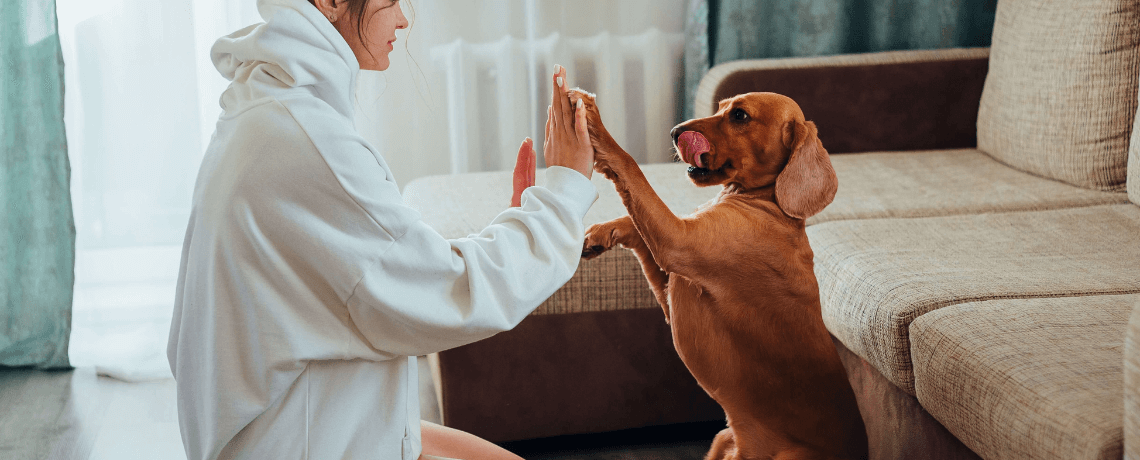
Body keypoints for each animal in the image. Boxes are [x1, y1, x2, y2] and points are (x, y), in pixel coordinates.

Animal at [574, 90, 866, 459]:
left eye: (739, 115)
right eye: (720, 107)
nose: (675, 131)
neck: (766, 202)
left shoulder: (676, 241)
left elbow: (629, 167)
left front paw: (594, 123)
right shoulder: (672, 286)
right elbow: (634, 223)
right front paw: (600, 234)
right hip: (720, 440)